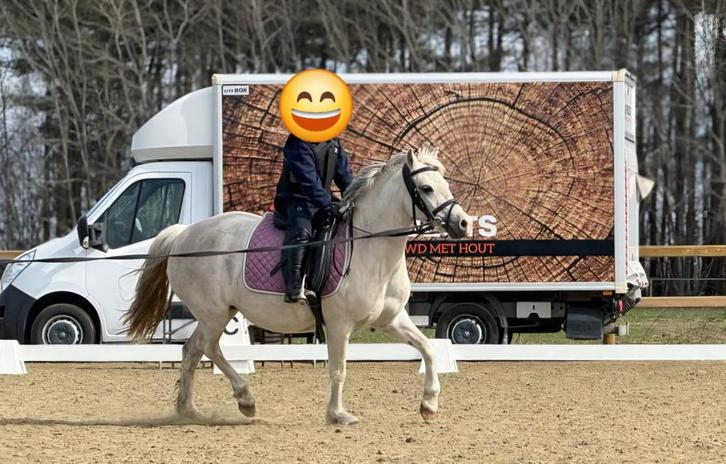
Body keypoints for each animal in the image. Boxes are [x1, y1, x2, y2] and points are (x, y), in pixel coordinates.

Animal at [125, 147, 472, 425]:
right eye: (426, 188)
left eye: (446, 184)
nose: (464, 224)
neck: (370, 247)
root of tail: (184, 234)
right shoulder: (339, 324)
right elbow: (338, 369)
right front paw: (338, 415)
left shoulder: (392, 319)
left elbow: (429, 349)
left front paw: (429, 405)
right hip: (214, 314)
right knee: (207, 348)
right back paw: (244, 399)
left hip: (215, 314)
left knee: (192, 350)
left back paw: (190, 410)